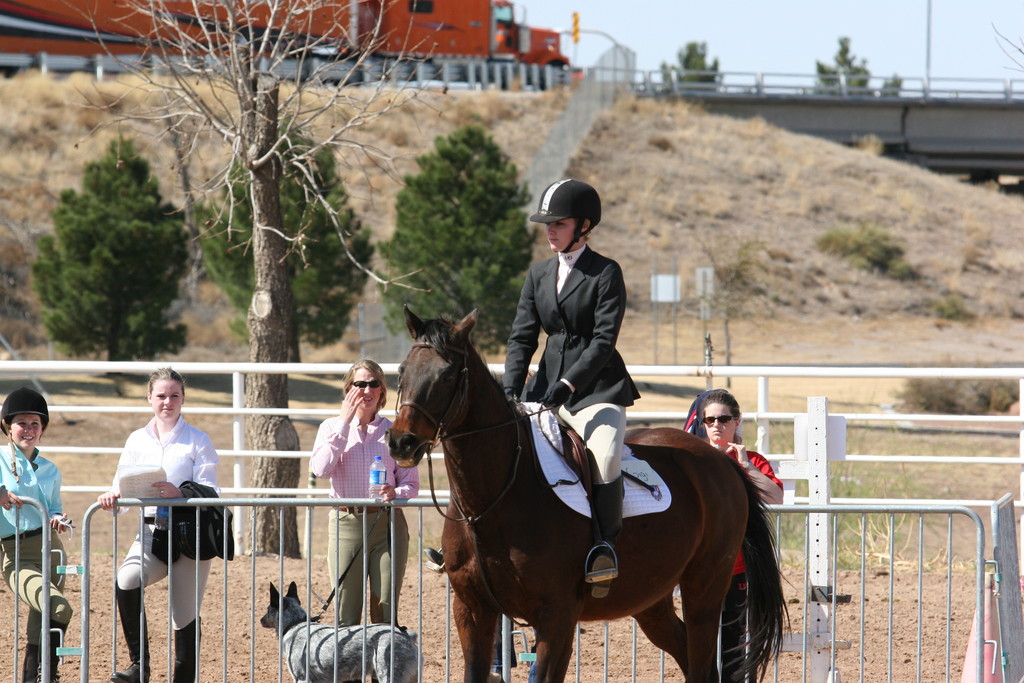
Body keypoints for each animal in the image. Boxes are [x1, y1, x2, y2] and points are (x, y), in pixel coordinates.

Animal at [385, 309, 782, 683]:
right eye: (402, 371)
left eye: (447, 376)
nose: (401, 442)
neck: (491, 501)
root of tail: (720, 459)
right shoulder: (471, 610)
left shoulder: (557, 615)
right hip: (652, 599)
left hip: (706, 587)